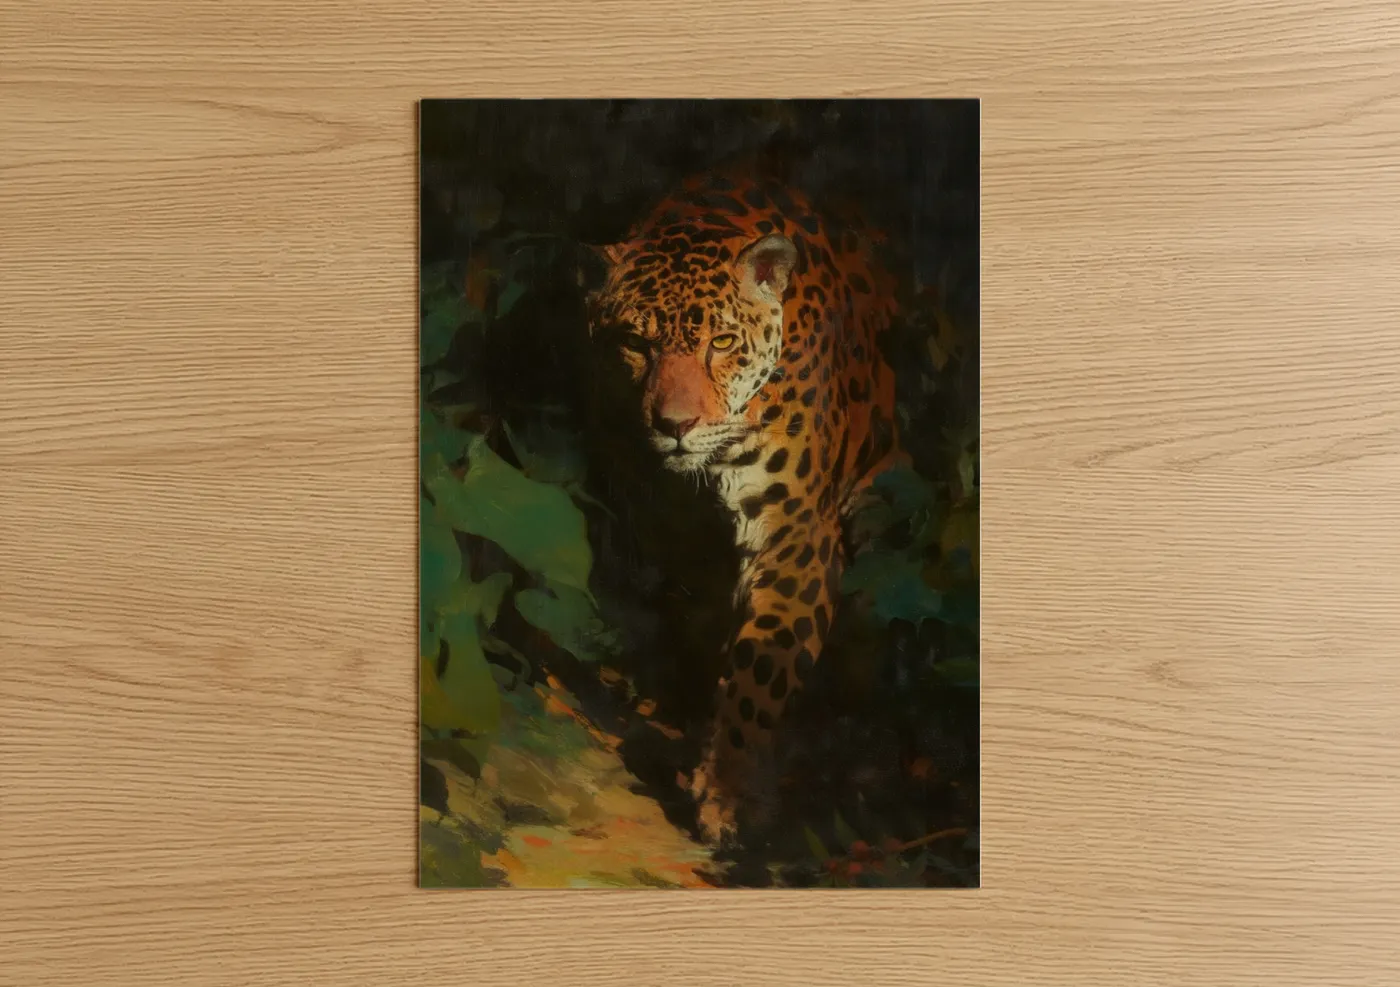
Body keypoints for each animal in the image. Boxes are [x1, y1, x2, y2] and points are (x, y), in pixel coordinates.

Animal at [585, 171, 903, 842]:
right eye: (635, 344)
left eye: (723, 342)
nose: (675, 425)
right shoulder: (643, 508)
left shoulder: (797, 533)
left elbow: (765, 657)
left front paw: (728, 790)